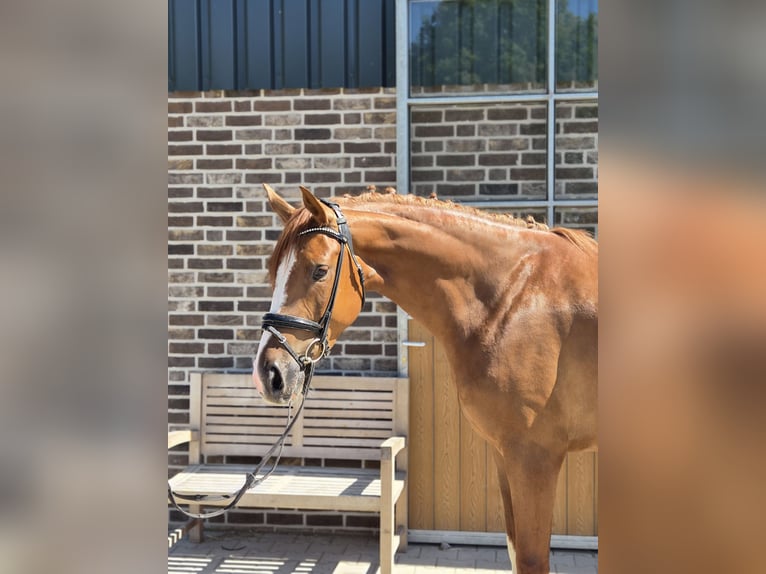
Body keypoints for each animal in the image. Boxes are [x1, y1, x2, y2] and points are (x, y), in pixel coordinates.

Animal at [253, 184, 598, 574]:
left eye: (319, 271)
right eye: (274, 271)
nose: (268, 373)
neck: (517, 299)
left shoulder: (534, 458)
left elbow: (531, 559)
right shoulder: (506, 455)